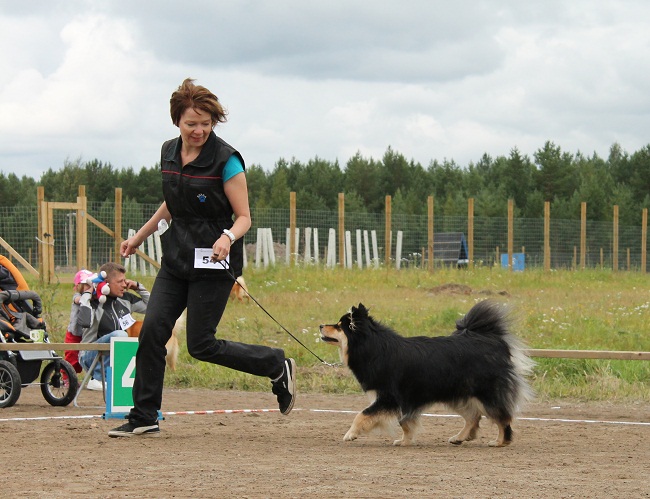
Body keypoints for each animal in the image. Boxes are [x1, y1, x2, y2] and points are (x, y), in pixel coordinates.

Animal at [319, 300, 534, 447]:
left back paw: (500, 441)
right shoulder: (404, 402)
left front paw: (351, 434)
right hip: (458, 394)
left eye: (338, 326)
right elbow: (405, 422)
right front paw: (405, 441)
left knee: (503, 417)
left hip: (486, 393)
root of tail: (492, 339)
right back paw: (461, 437)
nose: (321, 325)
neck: (374, 349)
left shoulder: (389, 398)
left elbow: (362, 415)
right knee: (473, 417)